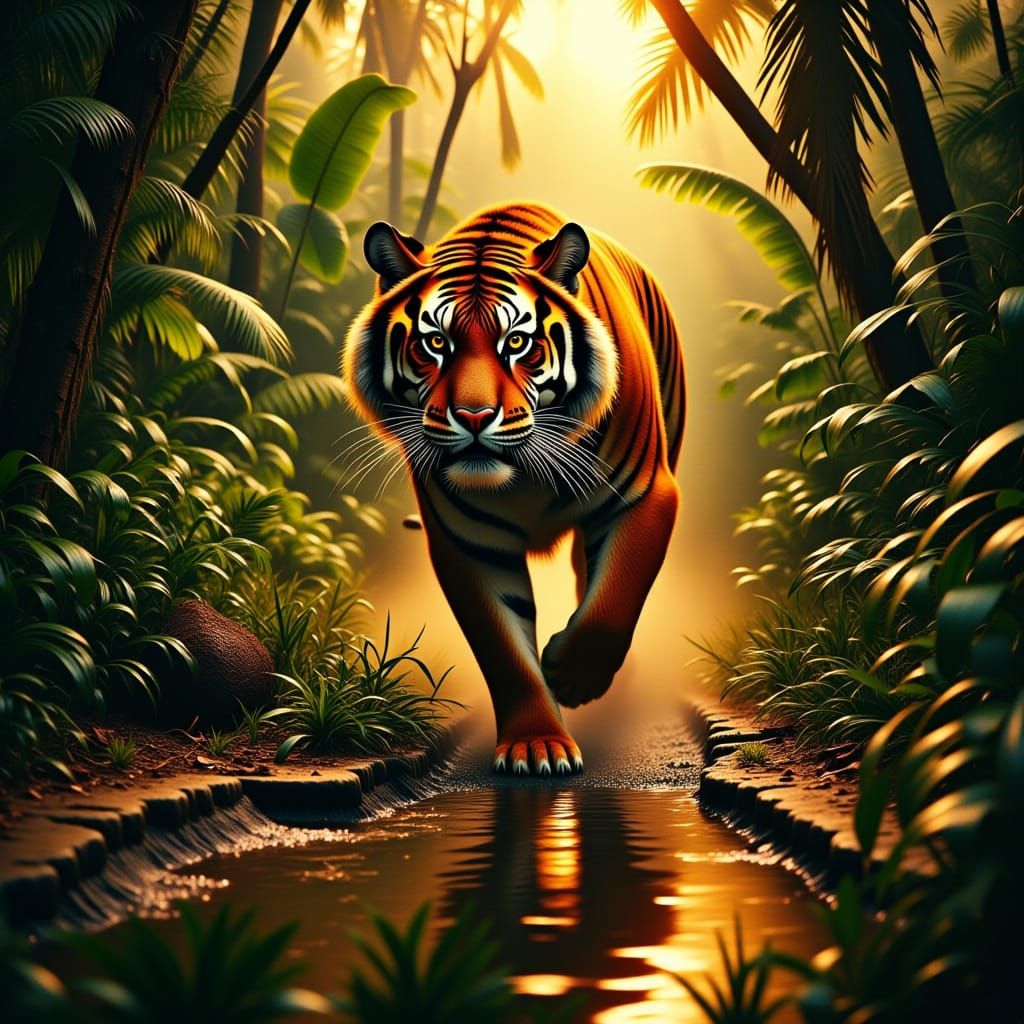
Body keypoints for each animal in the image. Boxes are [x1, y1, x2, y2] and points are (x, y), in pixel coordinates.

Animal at [343, 202, 685, 776]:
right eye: (436, 342)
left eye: (517, 343)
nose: (474, 416)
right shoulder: (466, 543)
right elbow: (504, 651)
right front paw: (537, 746)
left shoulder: (645, 496)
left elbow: (612, 603)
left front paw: (571, 673)